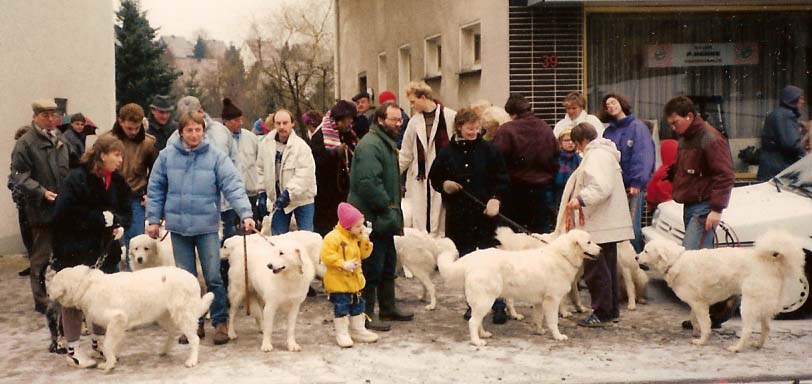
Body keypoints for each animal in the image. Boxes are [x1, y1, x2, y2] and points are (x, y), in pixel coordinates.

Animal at [47, 266, 213, 370]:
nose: (47, 296)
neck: (86, 286)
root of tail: (193, 278)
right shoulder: (116, 325)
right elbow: (110, 344)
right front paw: (112, 359)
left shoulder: (117, 318)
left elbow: (107, 344)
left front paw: (108, 364)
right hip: (163, 315)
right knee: (173, 333)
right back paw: (164, 351)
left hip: (183, 315)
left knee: (194, 339)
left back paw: (192, 360)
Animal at [438, 230, 604, 346]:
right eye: (589, 242)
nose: (601, 250)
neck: (563, 256)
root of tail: (472, 258)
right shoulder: (553, 300)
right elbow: (553, 321)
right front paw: (558, 336)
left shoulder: (539, 302)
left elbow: (538, 318)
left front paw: (539, 331)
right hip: (485, 300)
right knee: (472, 322)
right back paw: (477, 341)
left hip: (482, 302)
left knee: (477, 321)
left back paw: (483, 334)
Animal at [640, 230, 804, 352]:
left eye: (645, 251)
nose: (636, 257)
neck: (675, 261)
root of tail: (772, 261)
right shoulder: (697, 303)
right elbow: (694, 319)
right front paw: (695, 331)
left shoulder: (699, 304)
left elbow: (705, 324)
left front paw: (702, 340)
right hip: (763, 306)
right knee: (767, 328)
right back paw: (758, 345)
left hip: (749, 305)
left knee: (748, 330)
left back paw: (737, 348)